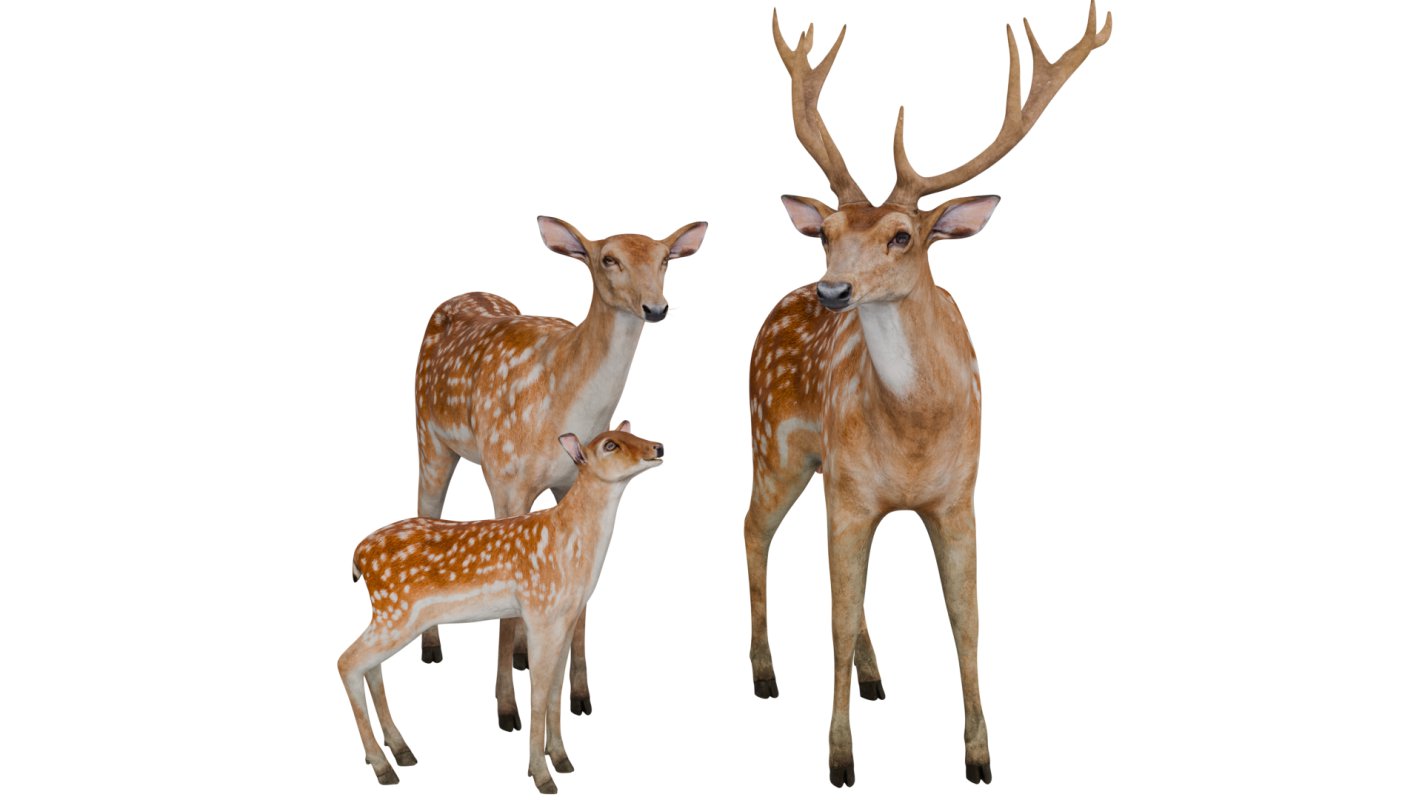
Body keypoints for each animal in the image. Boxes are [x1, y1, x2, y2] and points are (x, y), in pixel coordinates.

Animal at [339, 423, 665, 793]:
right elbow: (538, 692)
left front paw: (561, 758)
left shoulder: (565, 617)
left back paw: (400, 750)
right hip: (397, 609)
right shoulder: (539, 610)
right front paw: (541, 775)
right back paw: (383, 766)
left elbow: (555, 690)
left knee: (369, 666)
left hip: (390, 613)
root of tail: (358, 556)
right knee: (347, 662)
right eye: (610, 445)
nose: (658, 447)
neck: (570, 545)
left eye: (633, 434)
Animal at [415, 216, 706, 732]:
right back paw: (433, 649)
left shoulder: (569, 480)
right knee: (425, 505)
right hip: (430, 436)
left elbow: (579, 602)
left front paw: (581, 697)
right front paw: (506, 711)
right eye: (608, 258)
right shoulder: (504, 476)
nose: (656, 307)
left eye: (664, 258)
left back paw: (523, 655)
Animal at [744, 4, 1111, 787]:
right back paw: (763, 673)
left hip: (824, 474)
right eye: (825, 231)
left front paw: (980, 754)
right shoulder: (854, 493)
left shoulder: (958, 493)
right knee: (754, 529)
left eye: (902, 236)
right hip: (774, 444)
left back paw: (875, 676)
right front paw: (840, 758)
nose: (833, 290)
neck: (914, 432)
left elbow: (965, 620)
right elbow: (835, 617)